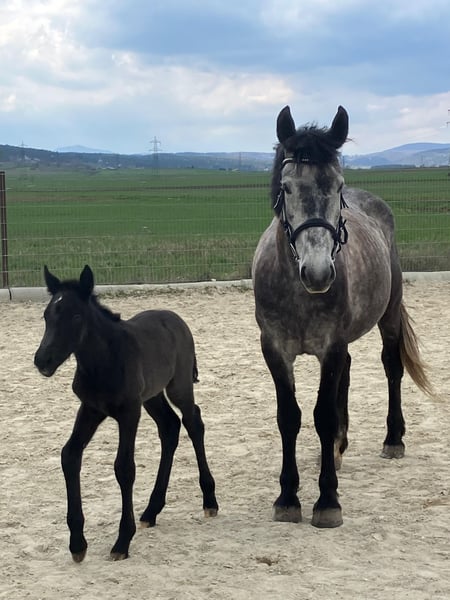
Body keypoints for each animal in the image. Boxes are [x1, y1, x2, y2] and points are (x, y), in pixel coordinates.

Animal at [34, 265, 218, 561]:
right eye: (47, 315)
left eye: (76, 315)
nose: (42, 360)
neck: (103, 362)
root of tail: (174, 317)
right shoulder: (91, 409)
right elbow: (69, 455)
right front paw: (77, 544)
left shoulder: (129, 413)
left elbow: (124, 467)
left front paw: (122, 542)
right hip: (152, 397)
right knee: (169, 427)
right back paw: (151, 510)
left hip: (178, 386)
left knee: (193, 422)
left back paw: (209, 500)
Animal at [252, 105, 432, 528]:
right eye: (287, 188)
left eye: (338, 186)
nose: (318, 273)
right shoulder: (275, 350)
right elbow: (289, 416)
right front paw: (288, 497)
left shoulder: (330, 347)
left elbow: (322, 415)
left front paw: (327, 501)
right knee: (346, 379)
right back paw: (337, 446)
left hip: (388, 317)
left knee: (391, 368)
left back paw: (393, 439)